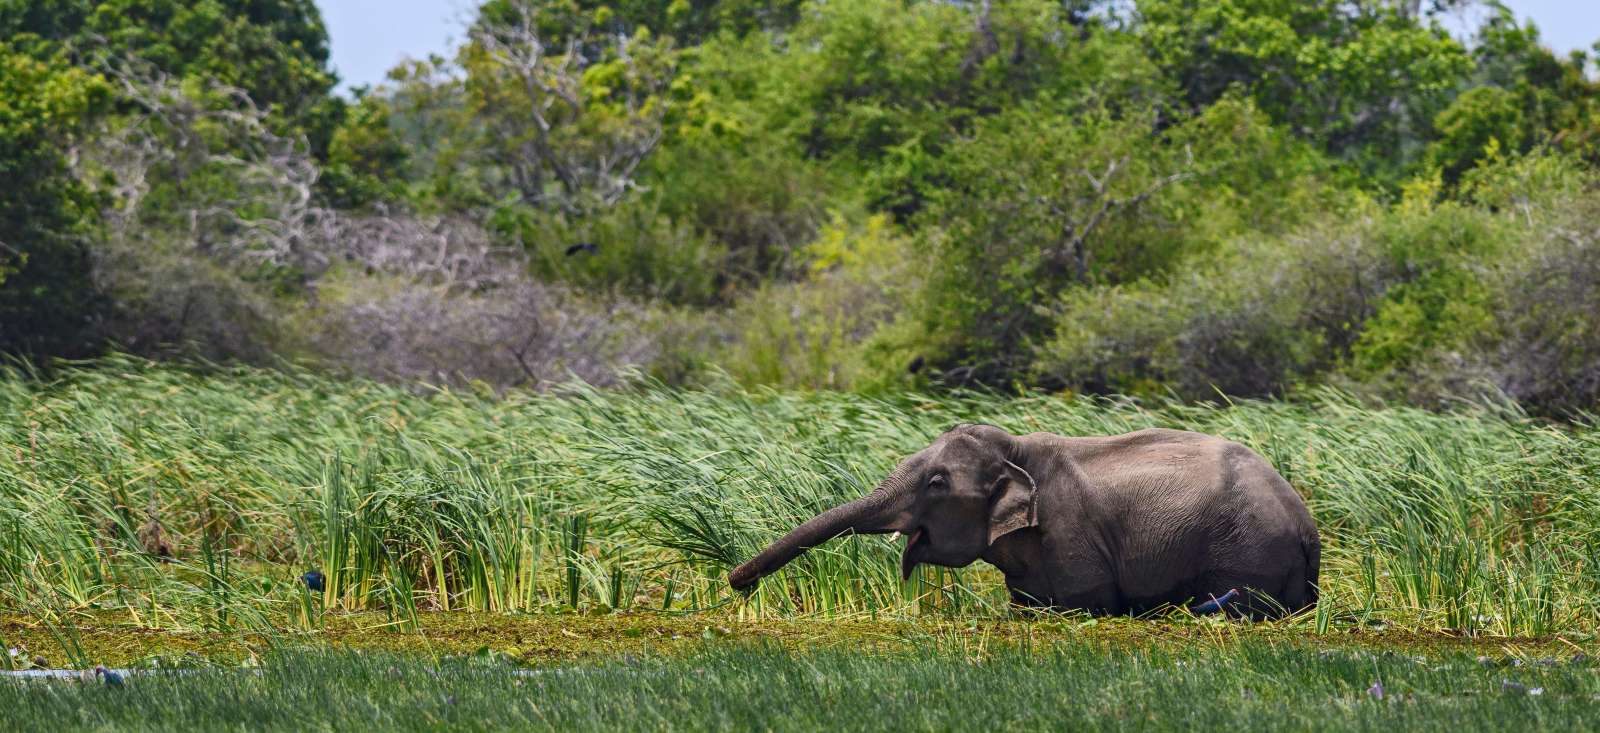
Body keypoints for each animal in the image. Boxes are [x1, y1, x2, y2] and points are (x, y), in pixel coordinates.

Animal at [732, 422, 1318, 617]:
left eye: (936, 483)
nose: (737, 584)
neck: (1018, 449)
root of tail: (1308, 528)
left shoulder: (1071, 534)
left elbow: (1088, 603)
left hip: (1246, 552)